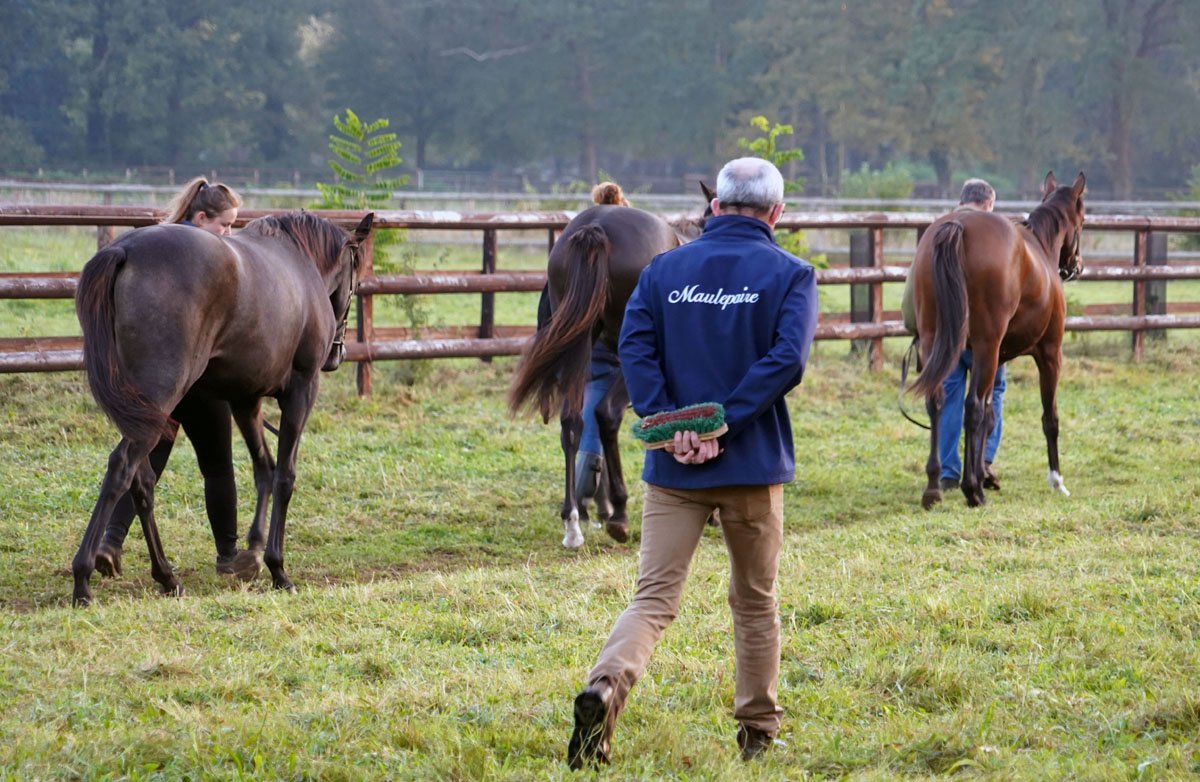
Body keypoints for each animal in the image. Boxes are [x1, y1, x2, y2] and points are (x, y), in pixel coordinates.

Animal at [71, 211, 373, 605]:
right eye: (355, 281)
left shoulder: (245, 399)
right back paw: (83, 578)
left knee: (143, 480)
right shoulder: (301, 391)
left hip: (147, 410)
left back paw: (166, 576)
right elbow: (285, 475)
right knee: (122, 469)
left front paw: (253, 551)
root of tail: (123, 251)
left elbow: (264, 469)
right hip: (159, 399)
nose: (337, 354)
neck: (300, 263)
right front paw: (278, 568)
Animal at [508, 184, 713, 548]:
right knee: (606, 414)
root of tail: (597, 228)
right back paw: (618, 512)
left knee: (573, 423)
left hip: (580, 346)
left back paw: (574, 522)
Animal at [909, 171, 1084, 509]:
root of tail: (959, 226)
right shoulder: (1050, 354)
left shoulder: (997, 357)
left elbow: (991, 416)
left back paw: (934, 487)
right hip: (986, 347)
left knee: (938, 402)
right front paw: (1057, 481)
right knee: (971, 407)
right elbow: (1049, 417)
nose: (1076, 266)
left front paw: (984, 474)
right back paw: (971, 491)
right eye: (1082, 221)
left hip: (937, 342)